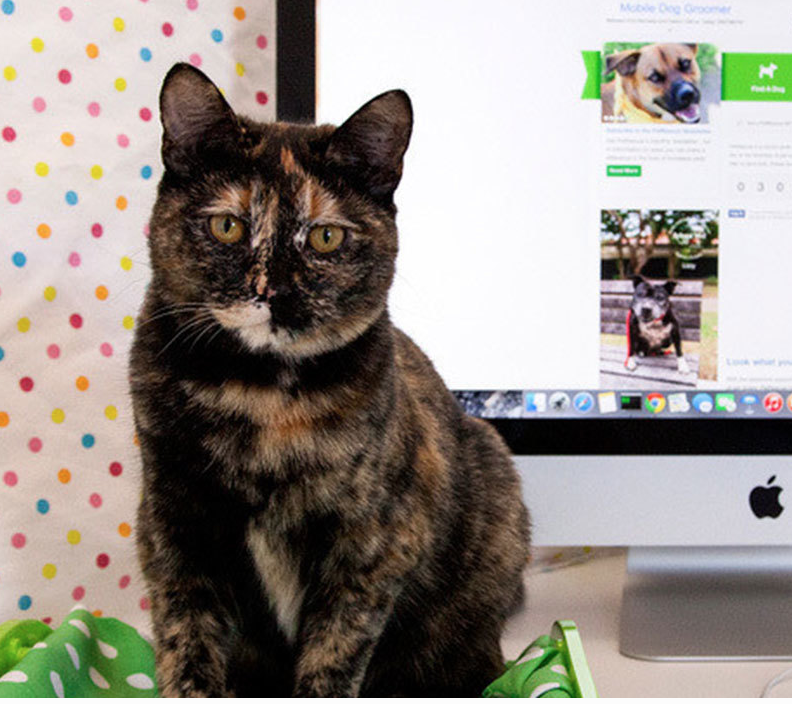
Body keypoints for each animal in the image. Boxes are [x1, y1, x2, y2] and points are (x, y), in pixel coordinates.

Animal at [129, 63, 531, 697]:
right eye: (227, 226)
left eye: (325, 238)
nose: (273, 290)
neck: (262, 400)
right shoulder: (174, 529)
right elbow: (184, 645)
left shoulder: (371, 544)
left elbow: (334, 656)